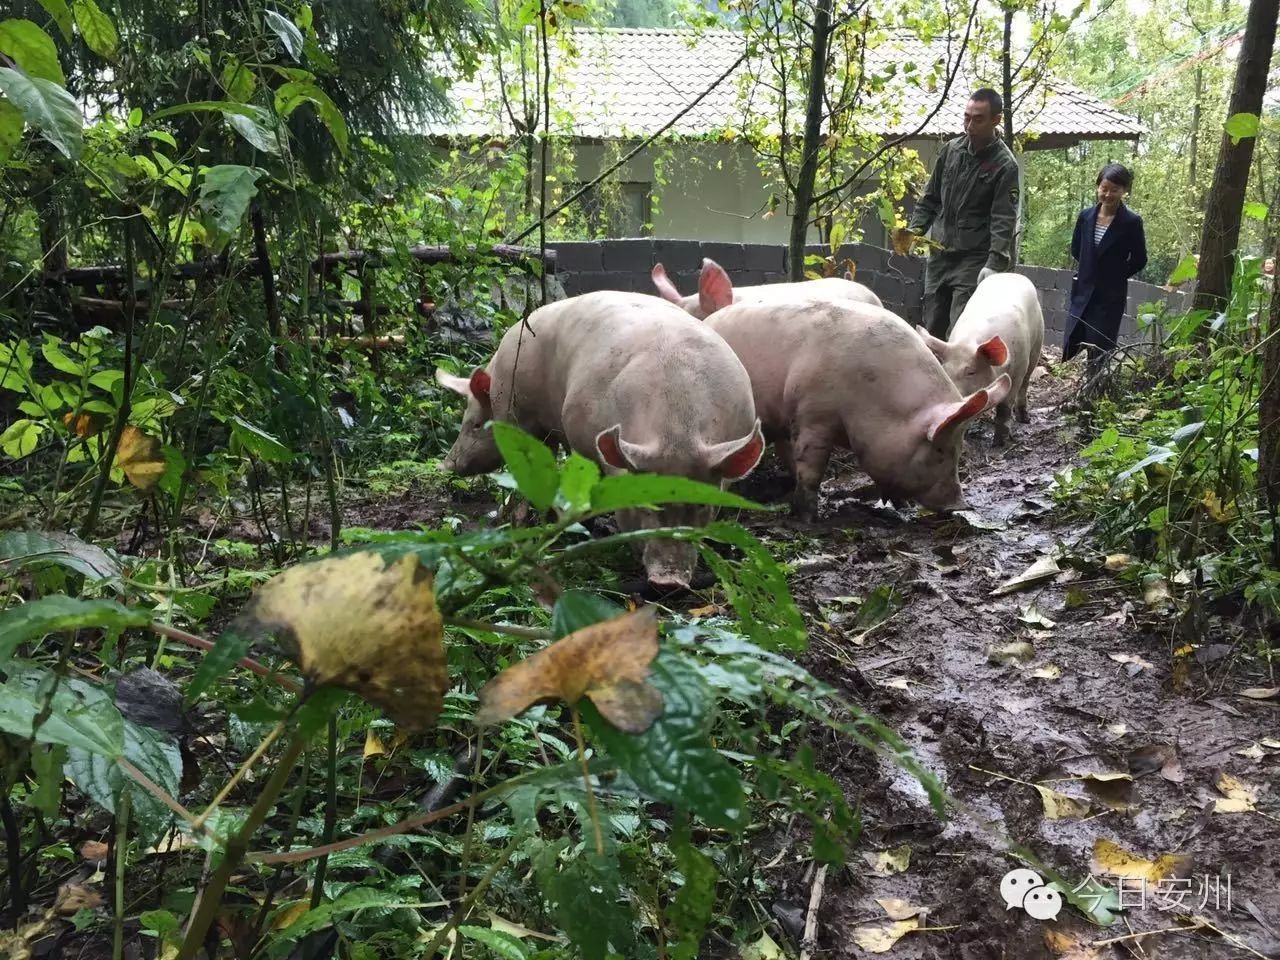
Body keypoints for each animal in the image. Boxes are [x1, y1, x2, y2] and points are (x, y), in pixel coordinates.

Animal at [701, 304, 1008, 522]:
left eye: (960, 449)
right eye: (940, 451)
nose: (960, 505)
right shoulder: (813, 415)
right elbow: (812, 467)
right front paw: (809, 518)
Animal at [911, 271, 1039, 448]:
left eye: (971, 372)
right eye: (945, 370)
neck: (969, 342)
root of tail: (1010, 274)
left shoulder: (1018, 369)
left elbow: (1005, 407)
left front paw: (998, 443)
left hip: (1037, 345)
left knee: (1026, 382)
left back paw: (1024, 419)